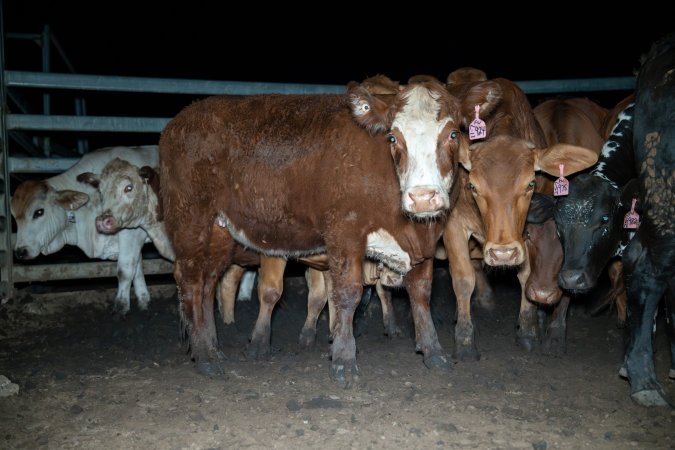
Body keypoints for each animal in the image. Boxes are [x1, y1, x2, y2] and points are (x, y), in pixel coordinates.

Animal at [10, 146, 158, 314]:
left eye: (39, 212)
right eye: (13, 216)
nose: (21, 251)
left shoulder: (132, 233)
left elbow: (125, 271)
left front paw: (121, 308)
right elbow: (137, 270)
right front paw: (144, 302)